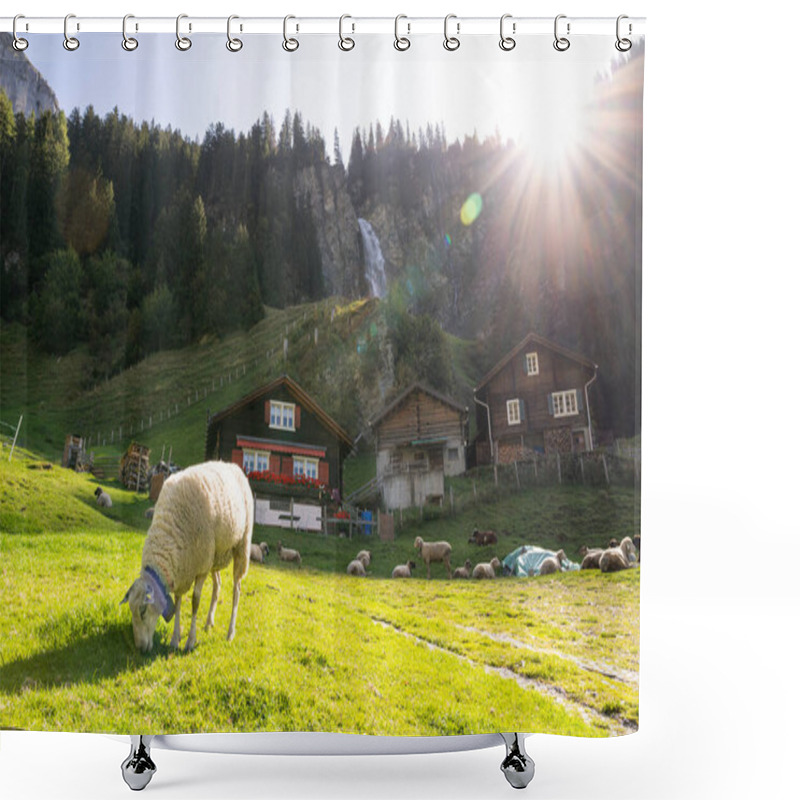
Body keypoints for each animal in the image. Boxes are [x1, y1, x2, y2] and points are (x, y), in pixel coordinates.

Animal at [119, 460, 253, 652]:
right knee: (218, 584)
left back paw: (230, 633)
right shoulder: (184, 567)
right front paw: (175, 639)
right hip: (215, 554)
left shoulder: (201, 567)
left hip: (241, 546)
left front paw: (190, 641)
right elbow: (177, 602)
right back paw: (208, 622)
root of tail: (233, 466)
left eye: (143, 611)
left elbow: (195, 602)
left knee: (237, 589)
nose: (140, 648)